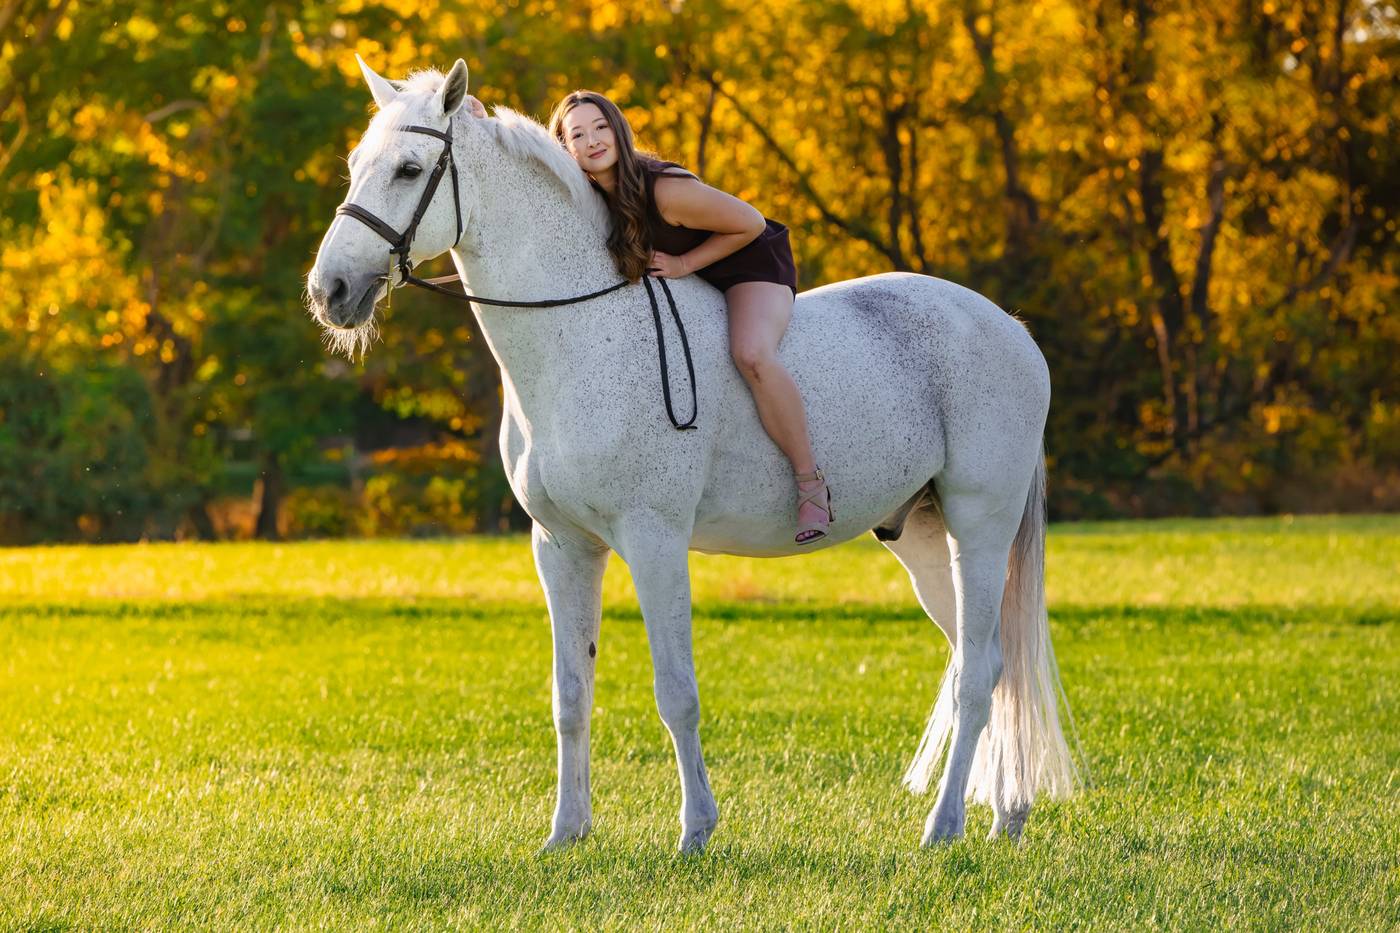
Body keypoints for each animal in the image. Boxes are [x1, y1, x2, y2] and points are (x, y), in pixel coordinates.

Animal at [305, 56, 1079, 852]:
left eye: (409, 168)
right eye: (355, 165)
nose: (330, 290)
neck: (581, 332)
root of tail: (1011, 330)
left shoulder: (654, 540)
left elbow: (676, 692)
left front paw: (696, 832)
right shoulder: (561, 547)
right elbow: (570, 695)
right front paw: (566, 833)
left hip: (979, 528)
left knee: (979, 672)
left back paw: (945, 825)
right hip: (922, 538)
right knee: (990, 664)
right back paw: (1007, 814)